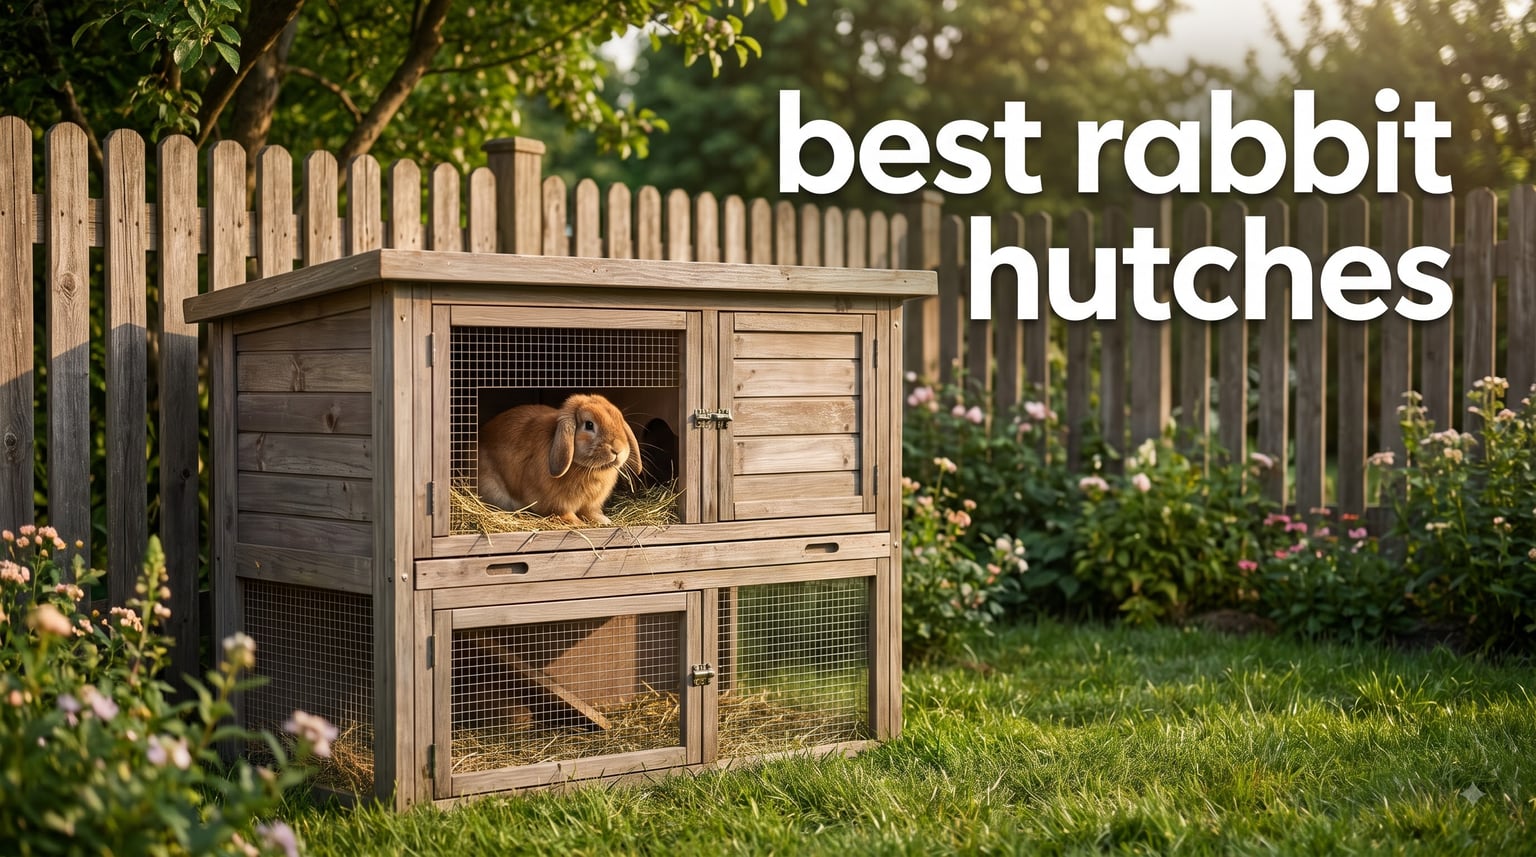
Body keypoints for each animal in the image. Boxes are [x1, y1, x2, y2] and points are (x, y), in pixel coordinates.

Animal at [476, 393, 641, 526]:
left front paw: (604, 521)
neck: (584, 468)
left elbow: (590, 512)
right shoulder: (557, 503)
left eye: (619, 420)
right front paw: (578, 523)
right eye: (589, 425)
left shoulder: (589, 505)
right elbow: (564, 513)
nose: (617, 449)